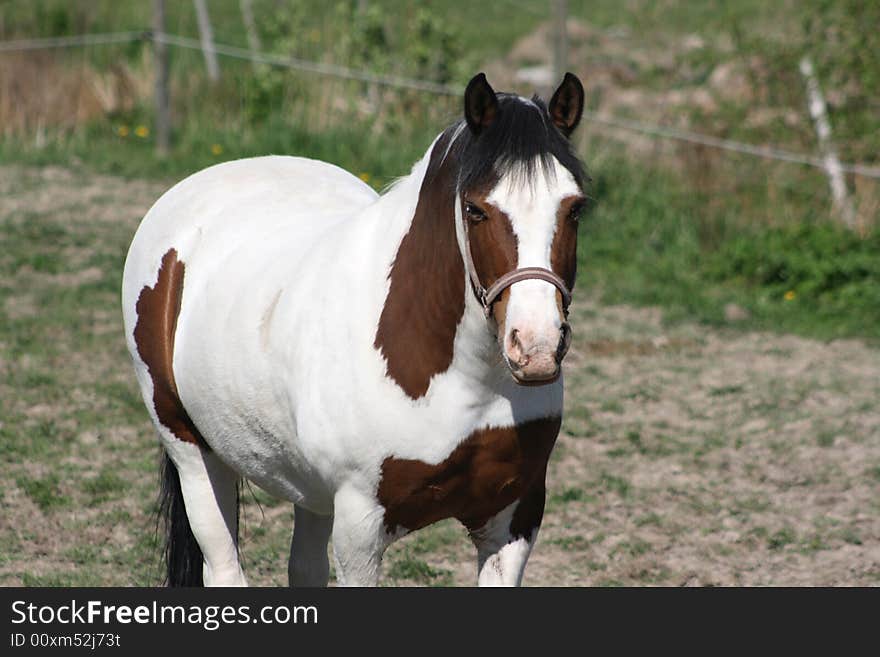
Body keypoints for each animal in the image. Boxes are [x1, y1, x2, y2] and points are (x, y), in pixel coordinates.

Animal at [120, 70, 588, 584]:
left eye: (575, 208)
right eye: (475, 209)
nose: (536, 348)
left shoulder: (514, 516)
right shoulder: (360, 527)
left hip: (308, 488)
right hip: (192, 452)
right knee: (222, 565)